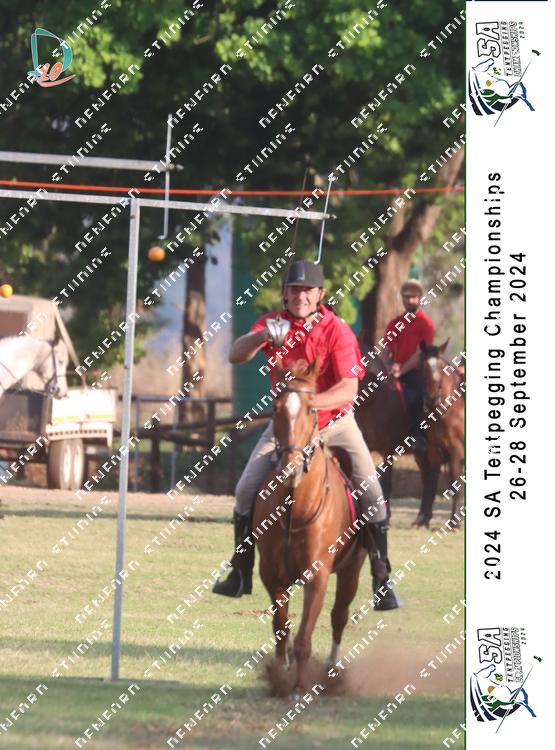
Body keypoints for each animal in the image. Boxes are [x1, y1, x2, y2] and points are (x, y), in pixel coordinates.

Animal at [253, 359, 368, 697]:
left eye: (311, 409)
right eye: (276, 408)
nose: (290, 467)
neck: (295, 508)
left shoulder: (317, 574)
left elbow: (305, 637)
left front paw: (300, 687)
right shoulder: (272, 573)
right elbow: (281, 627)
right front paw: (281, 672)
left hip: (352, 569)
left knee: (339, 616)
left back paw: (332, 670)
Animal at [417, 341, 464, 527]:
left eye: (441, 367)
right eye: (422, 365)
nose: (431, 398)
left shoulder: (456, 451)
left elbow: (457, 483)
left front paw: (454, 522)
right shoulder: (434, 451)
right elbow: (431, 483)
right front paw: (422, 520)